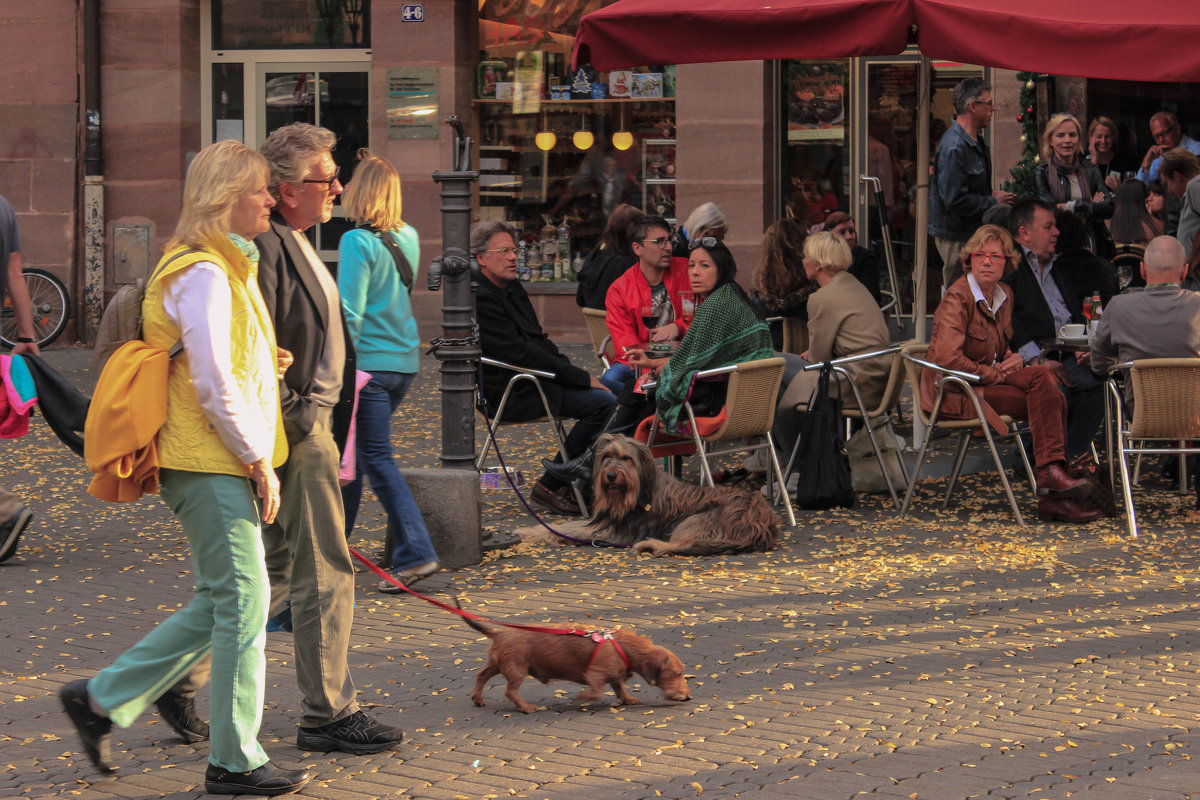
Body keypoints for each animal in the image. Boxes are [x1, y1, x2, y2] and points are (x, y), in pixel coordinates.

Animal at [460, 609, 696, 714]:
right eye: (677, 674)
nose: (688, 697)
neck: (622, 646)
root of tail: (499, 632)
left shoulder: (614, 676)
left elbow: (619, 687)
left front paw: (628, 699)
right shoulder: (595, 674)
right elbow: (597, 691)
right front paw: (582, 697)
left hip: (497, 664)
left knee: (481, 675)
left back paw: (478, 698)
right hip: (517, 668)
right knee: (510, 690)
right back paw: (526, 707)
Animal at [520, 431, 782, 556]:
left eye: (626, 458)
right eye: (608, 457)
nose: (611, 476)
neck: (635, 493)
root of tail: (763, 524)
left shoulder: (611, 531)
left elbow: (567, 529)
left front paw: (529, 532)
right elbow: (565, 527)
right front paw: (532, 530)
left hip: (696, 520)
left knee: (682, 545)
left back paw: (651, 545)